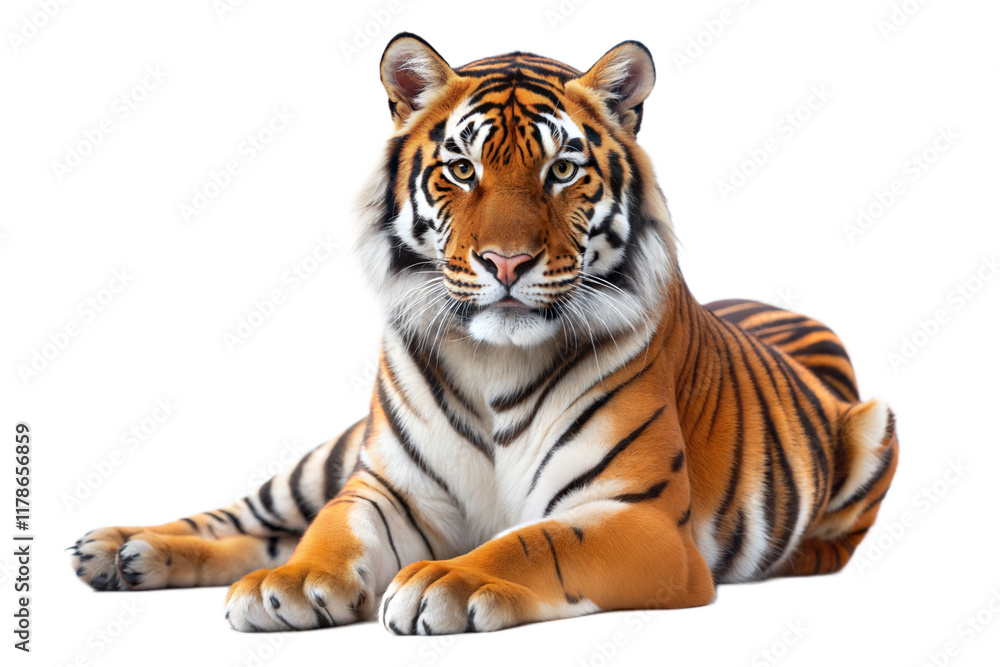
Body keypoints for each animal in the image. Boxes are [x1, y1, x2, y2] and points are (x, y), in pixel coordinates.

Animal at [70, 33, 899, 634]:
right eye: (461, 168)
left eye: (563, 170)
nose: (506, 261)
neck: (492, 360)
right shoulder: (390, 486)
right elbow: (331, 528)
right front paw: (294, 581)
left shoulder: (639, 516)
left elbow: (536, 538)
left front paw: (447, 579)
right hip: (332, 453)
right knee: (256, 516)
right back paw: (122, 548)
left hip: (875, 424)